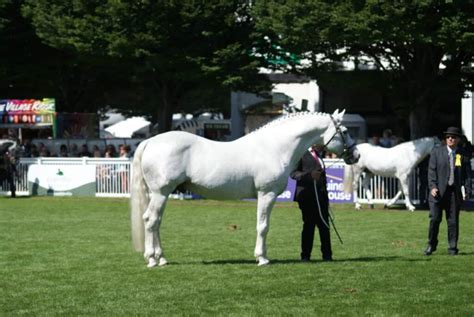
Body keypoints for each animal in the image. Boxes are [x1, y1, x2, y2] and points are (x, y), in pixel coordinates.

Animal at [130, 108, 360, 266]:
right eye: (345, 131)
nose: (356, 155)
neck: (274, 147)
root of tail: (150, 141)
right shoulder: (266, 194)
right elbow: (263, 226)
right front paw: (262, 258)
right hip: (161, 193)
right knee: (151, 220)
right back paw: (152, 259)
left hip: (161, 194)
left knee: (156, 222)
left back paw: (161, 258)